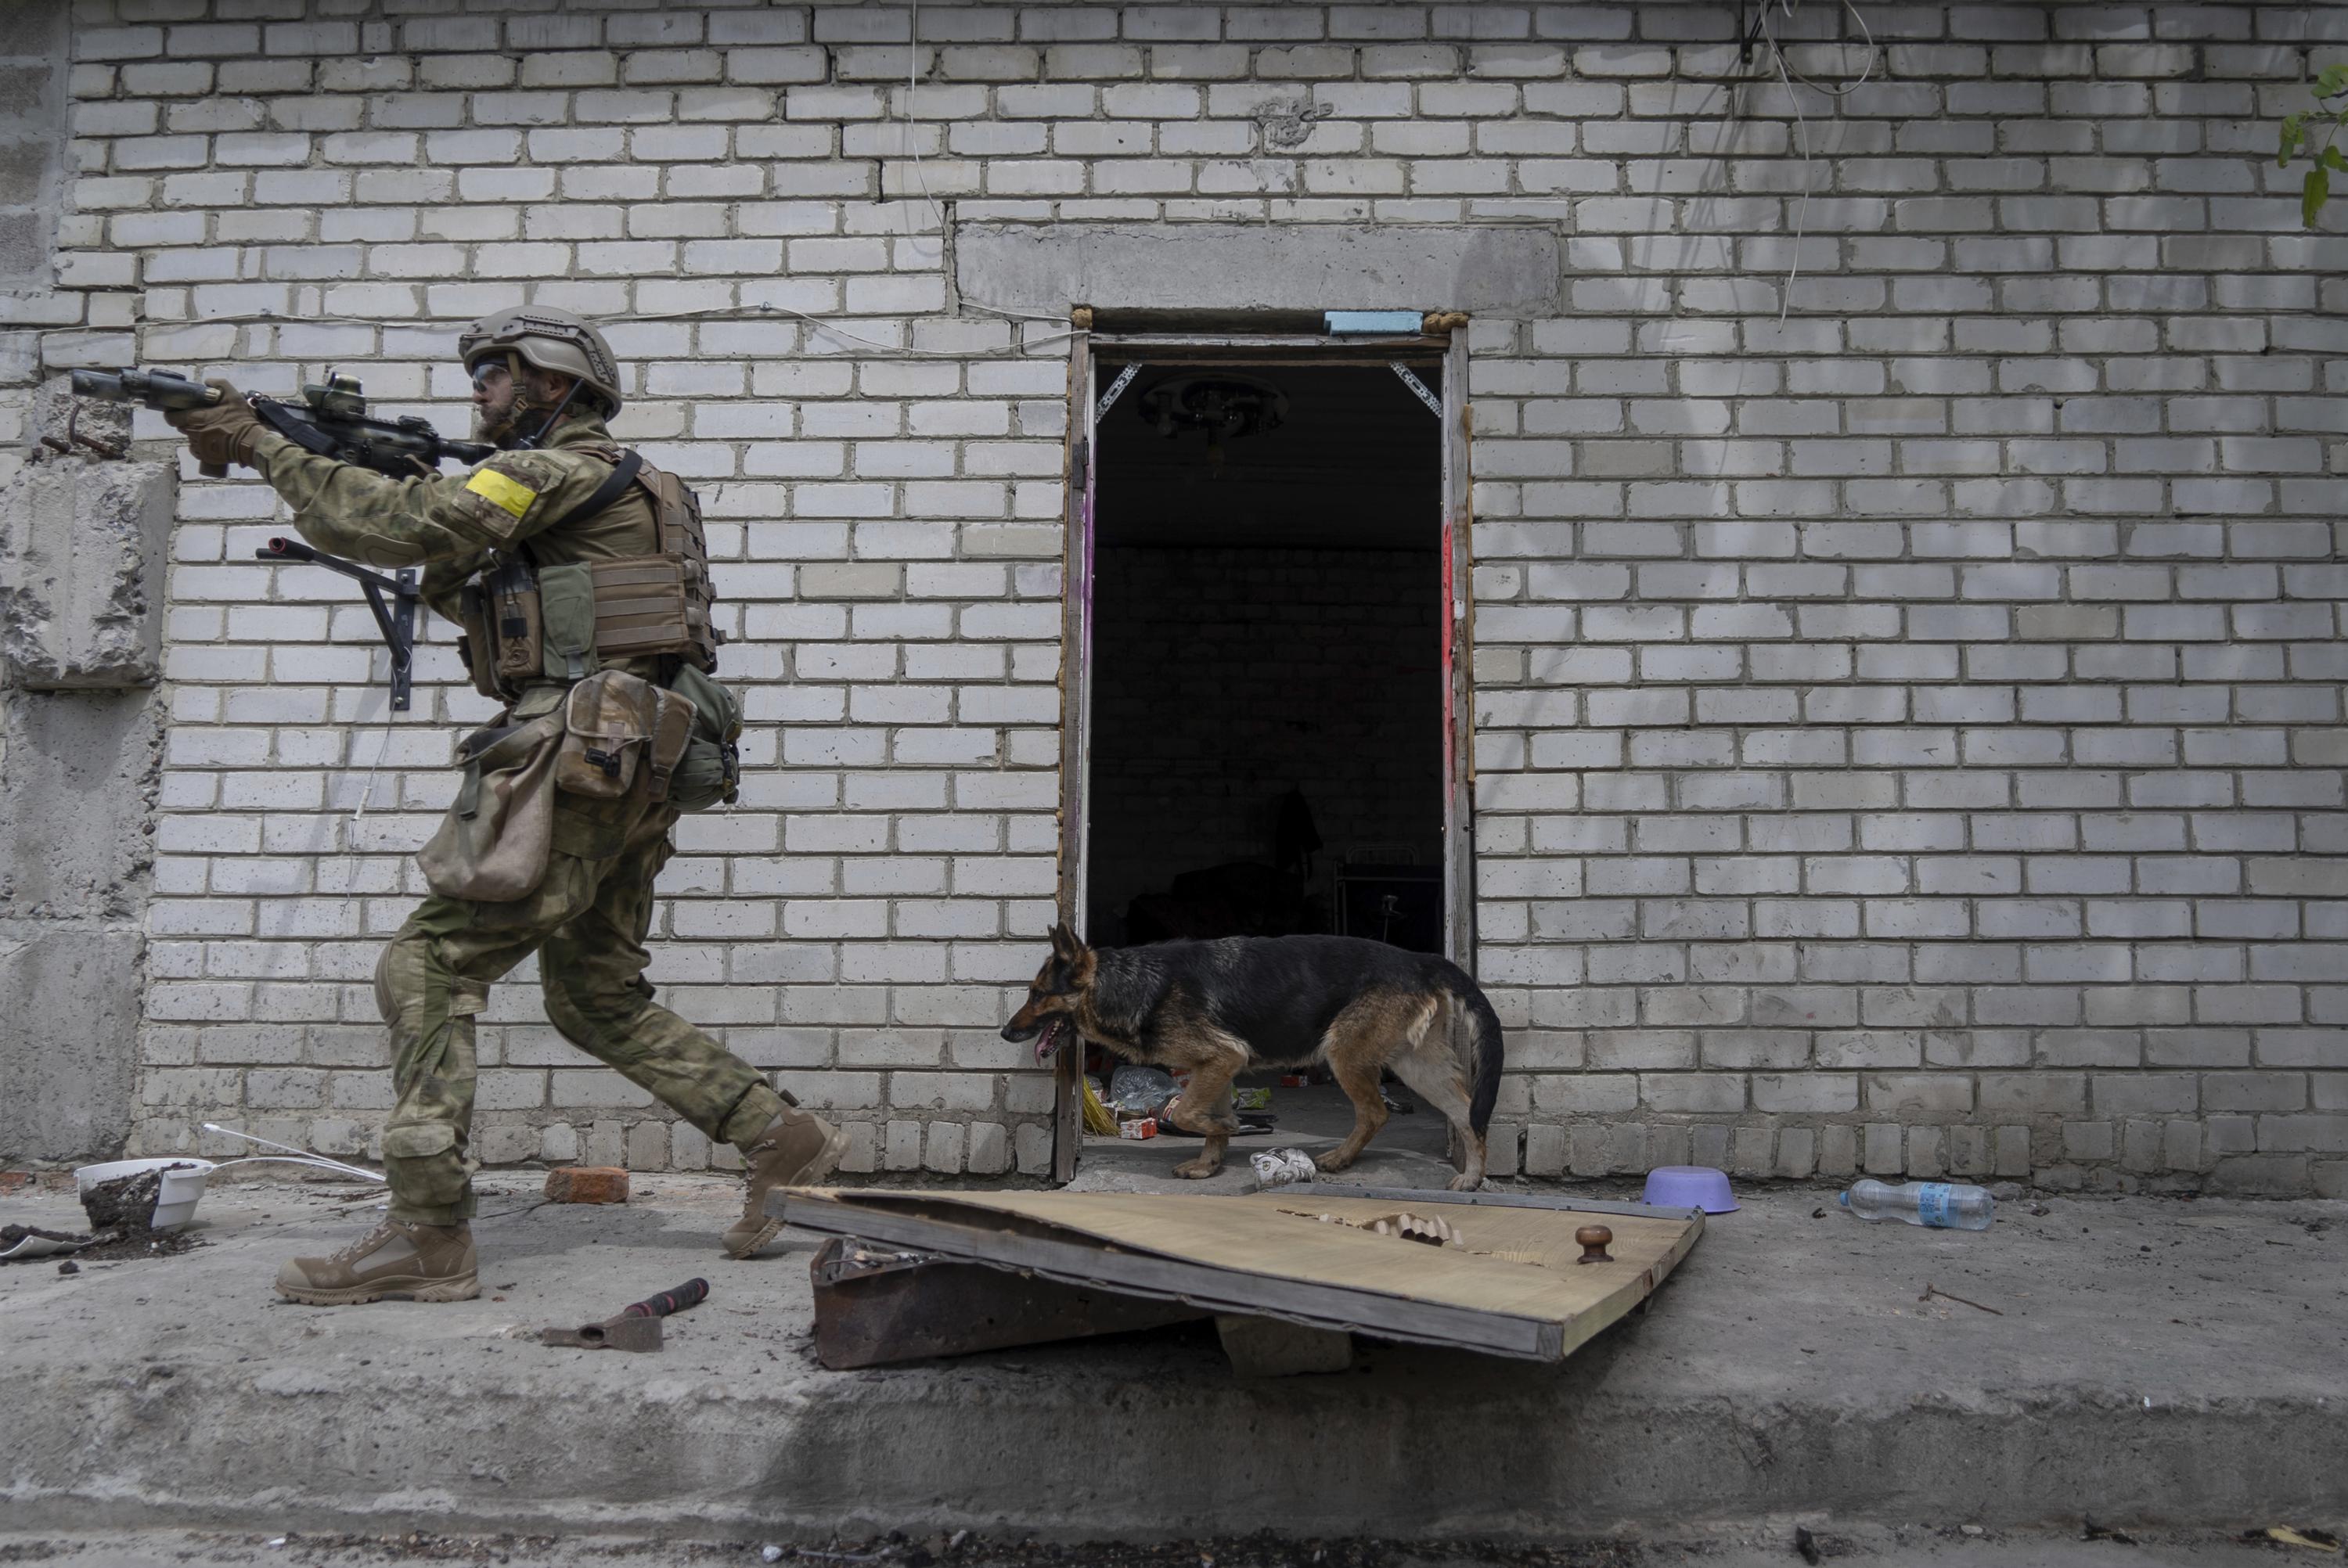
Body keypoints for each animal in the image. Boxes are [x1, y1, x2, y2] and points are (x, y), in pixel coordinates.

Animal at [996, 930, 1503, 1188]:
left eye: (1037, 994)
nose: (1004, 1033)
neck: (1130, 983)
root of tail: (1419, 960)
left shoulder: (1223, 1057)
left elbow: (1188, 1112)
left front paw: (1225, 1129)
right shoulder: (1216, 1066)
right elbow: (1203, 1118)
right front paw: (1210, 1162)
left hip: (1344, 1052)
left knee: (1377, 1112)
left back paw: (1341, 1158)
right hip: (1416, 1065)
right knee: (1467, 1114)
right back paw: (1472, 1177)